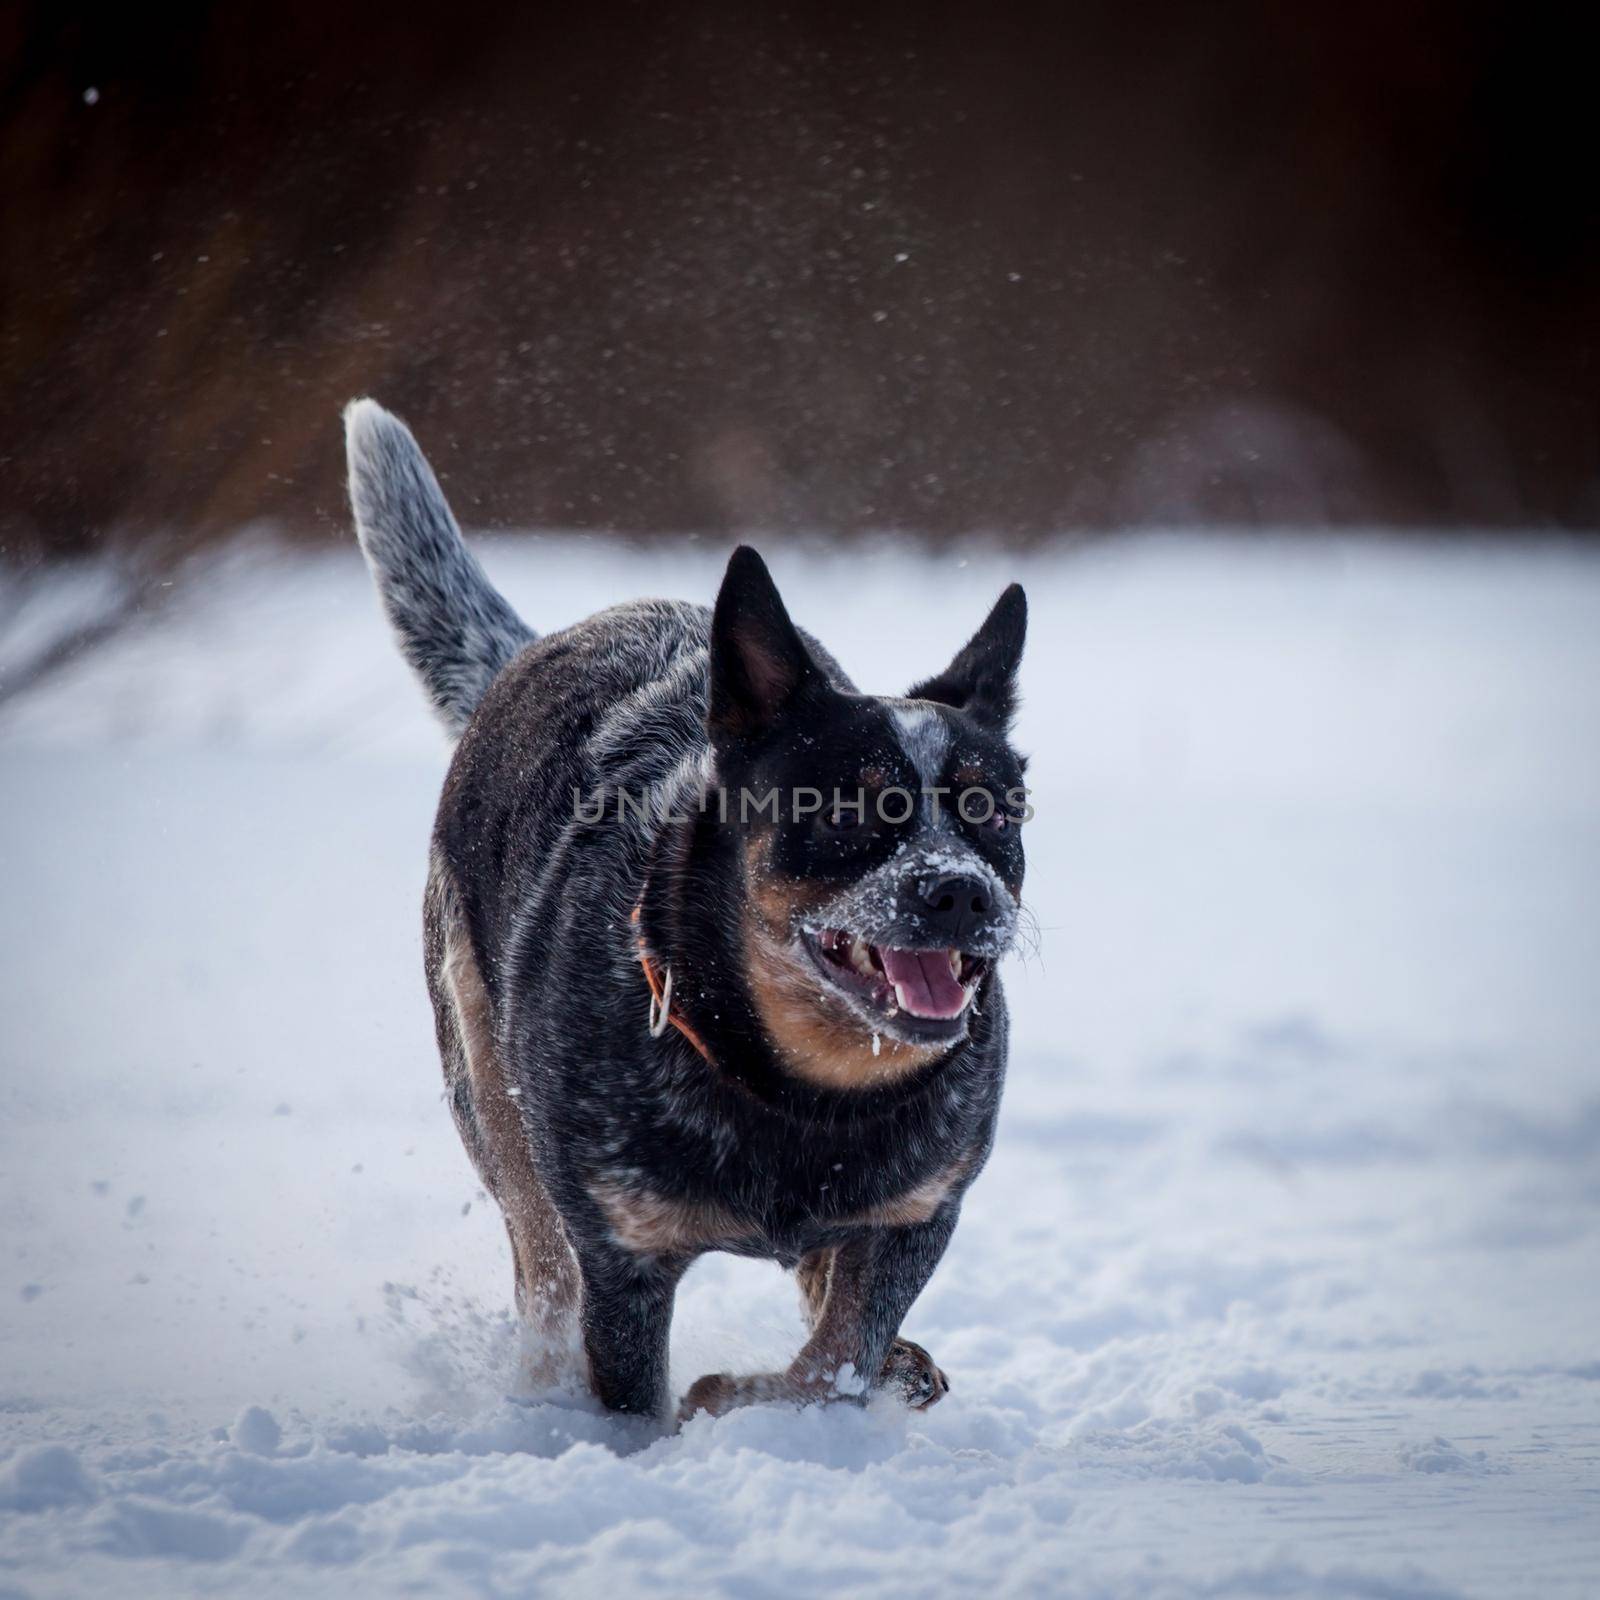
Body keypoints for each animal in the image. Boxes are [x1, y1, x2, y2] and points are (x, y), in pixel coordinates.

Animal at [344, 400, 1030, 1427]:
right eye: (848, 808)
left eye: (995, 811)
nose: (962, 891)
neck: (799, 1094)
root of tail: (528, 649)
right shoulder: (622, 1252)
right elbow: (639, 1390)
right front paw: (680, 1422)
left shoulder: (918, 1214)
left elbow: (836, 1357)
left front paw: (756, 1396)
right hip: (487, 1088)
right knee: (539, 1267)